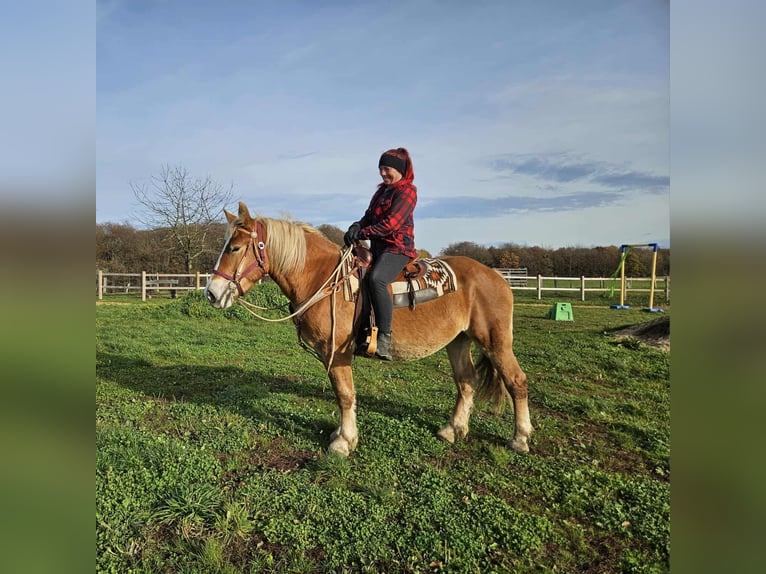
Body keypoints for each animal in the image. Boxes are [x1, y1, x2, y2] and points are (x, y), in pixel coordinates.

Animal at [205, 201, 533, 457]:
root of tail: (497, 277)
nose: (212, 293)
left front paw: (343, 442)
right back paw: (453, 430)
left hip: (496, 342)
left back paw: (520, 438)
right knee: (466, 381)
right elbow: (342, 394)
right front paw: (342, 434)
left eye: (235, 247)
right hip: (459, 340)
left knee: (516, 381)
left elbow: (345, 394)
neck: (323, 278)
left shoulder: (337, 352)